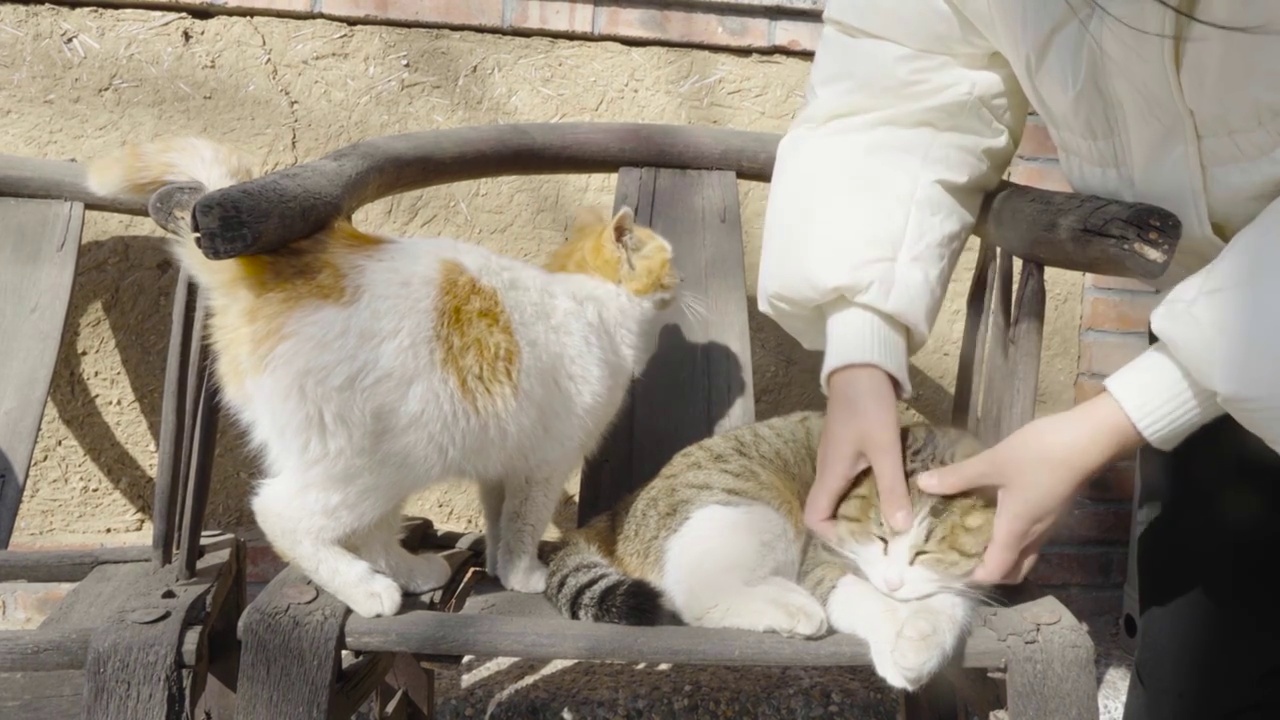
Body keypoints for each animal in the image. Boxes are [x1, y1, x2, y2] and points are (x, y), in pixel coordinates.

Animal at [86, 135, 686, 617]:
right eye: (670, 262)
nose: (683, 282)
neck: (589, 301)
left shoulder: (503, 464)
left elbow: (499, 523)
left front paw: (498, 568)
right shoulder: (543, 464)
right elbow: (523, 526)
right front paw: (523, 576)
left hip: (392, 465)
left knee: (369, 530)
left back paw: (414, 572)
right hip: (369, 462)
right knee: (283, 515)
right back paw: (368, 590)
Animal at [545, 409, 993, 681]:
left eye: (925, 552)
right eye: (879, 535)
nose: (893, 583)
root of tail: (619, 509)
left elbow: (948, 597)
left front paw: (921, 640)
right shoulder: (821, 558)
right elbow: (860, 594)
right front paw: (901, 646)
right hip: (760, 510)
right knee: (699, 594)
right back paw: (796, 610)